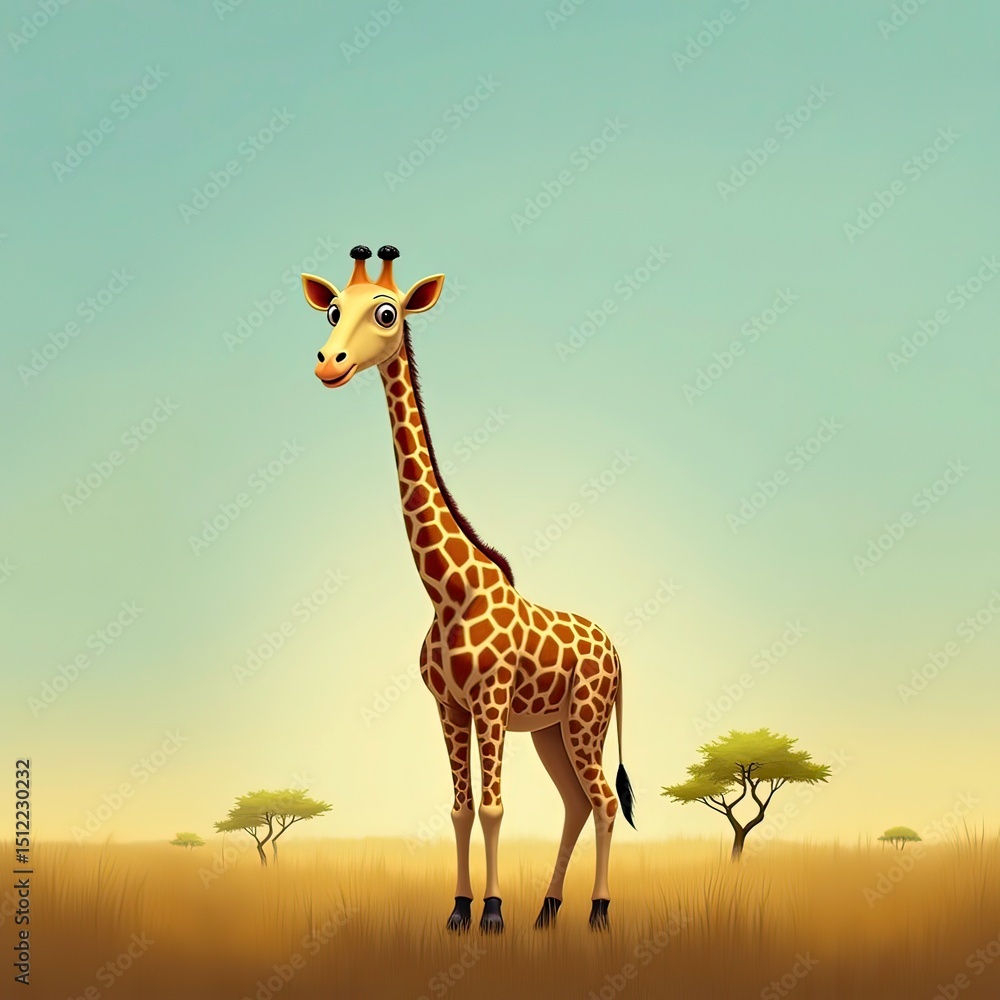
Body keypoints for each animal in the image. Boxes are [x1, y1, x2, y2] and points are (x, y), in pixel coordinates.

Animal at [301, 245, 635, 933]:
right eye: (331, 309)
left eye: (386, 312)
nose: (328, 363)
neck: (447, 590)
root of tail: (616, 650)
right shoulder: (448, 706)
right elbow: (458, 809)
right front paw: (460, 909)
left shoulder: (490, 703)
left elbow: (493, 808)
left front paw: (494, 913)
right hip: (550, 729)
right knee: (576, 803)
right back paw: (548, 910)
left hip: (585, 718)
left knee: (604, 802)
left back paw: (596, 912)